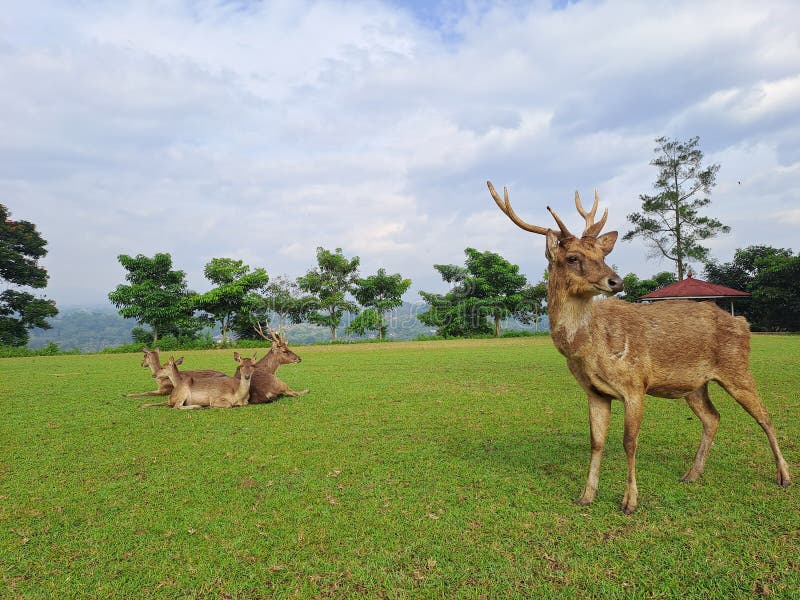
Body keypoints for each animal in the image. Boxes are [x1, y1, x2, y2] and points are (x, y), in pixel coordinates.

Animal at [484, 180, 792, 512]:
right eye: (573, 258)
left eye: (602, 255)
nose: (616, 281)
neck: (588, 350)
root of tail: (743, 323)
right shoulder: (594, 392)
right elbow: (597, 441)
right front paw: (586, 495)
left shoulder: (635, 384)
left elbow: (629, 442)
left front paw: (629, 501)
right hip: (695, 384)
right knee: (713, 417)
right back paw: (691, 474)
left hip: (737, 367)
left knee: (765, 416)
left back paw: (784, 476)